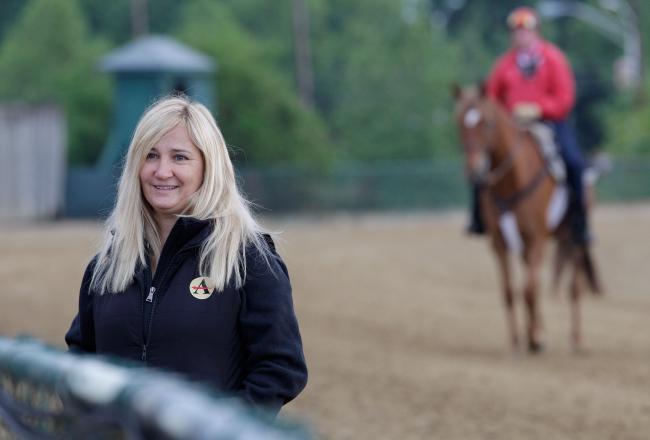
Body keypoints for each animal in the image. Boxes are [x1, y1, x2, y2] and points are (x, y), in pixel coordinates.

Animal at [450, 85, 596, 354]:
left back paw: (576, 339)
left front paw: (535, 338)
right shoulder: (500, 243)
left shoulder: (536, 238)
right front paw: (519, 340)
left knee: (574, 288)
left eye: (486, 122)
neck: (512, 181)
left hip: (574, 238)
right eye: (459, 122)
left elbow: (528, 290)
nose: (475, 169)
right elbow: (510, 291)